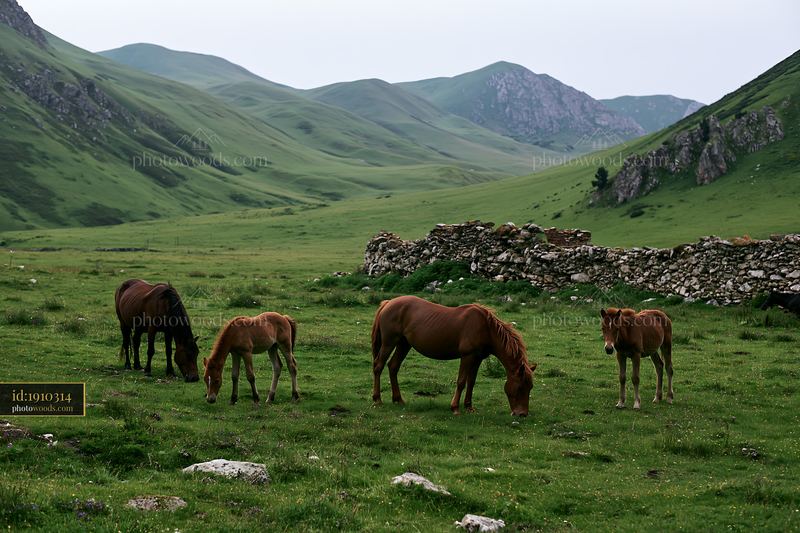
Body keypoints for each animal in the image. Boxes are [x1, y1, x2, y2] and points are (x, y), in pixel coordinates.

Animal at [371, 295, 536, 416]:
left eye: (530, 387)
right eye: (520, 387)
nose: (522, 414)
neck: (485, 328)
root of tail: (388, 303)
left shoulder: (477, 359)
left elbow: (471, 382)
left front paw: (469, 406)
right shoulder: (467, 356)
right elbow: (461, 382)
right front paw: (455, 407)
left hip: (404, 344)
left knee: (393, 366)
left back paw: (398, 399)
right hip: (389, 343)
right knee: (378, 366)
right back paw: (377, 399)